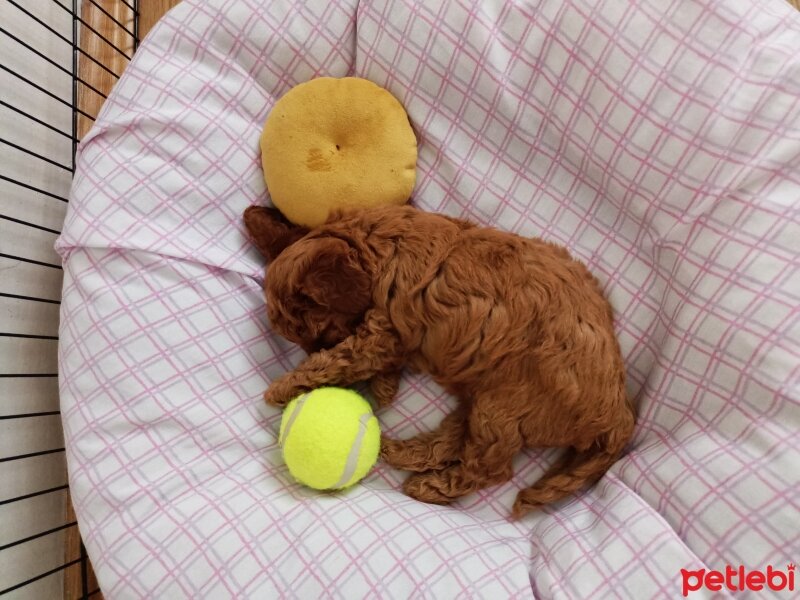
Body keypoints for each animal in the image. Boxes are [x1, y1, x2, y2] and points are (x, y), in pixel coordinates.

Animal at [245, 205, 636, 516]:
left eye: (319, 334)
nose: (311, 349)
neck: (379, 244)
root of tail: (617, 413)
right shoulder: (389, 334)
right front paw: (384, 388)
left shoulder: (381, 333)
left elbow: (340, 359)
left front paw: (282, 388)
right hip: (488, 400)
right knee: (452, 440)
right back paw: (401, 452)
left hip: (505, 406)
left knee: (489, 468)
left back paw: (430, 486)